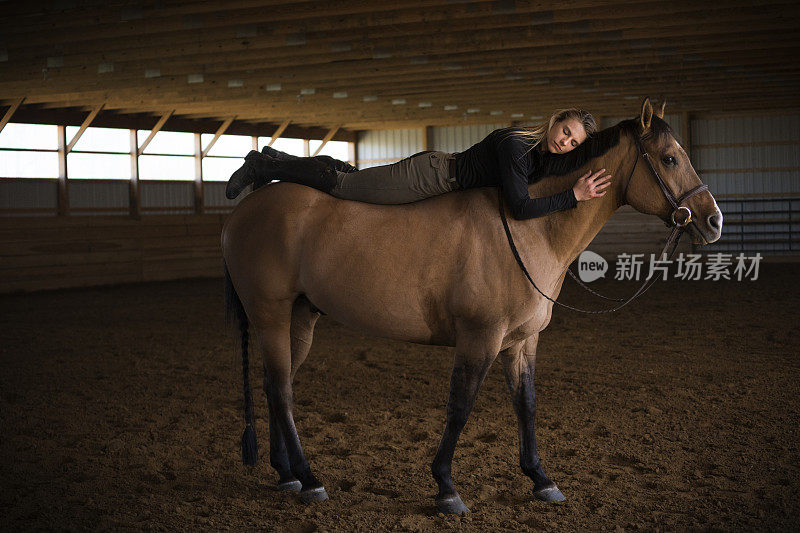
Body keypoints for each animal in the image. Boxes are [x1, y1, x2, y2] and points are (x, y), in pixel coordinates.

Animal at [220, 97, 724, 512]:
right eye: (670, 158)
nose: (713, 220)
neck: (529, 229)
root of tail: (241, 214)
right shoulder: (481, 338)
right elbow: (460, 407)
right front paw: (445, 487)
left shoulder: (521, 342)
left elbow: (526, 404)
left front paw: (541, 479)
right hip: (269, 314)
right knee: (281, 389)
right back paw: (309, 478)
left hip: (299, 319)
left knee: (276, 385)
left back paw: (287, 474)